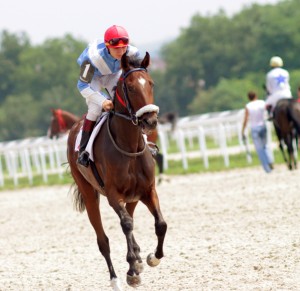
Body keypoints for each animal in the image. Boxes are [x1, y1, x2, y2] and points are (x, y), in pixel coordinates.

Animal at [67, 52, 168, 290]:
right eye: (130, 87)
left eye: (151, 83)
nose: (150, 120)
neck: (129, 147)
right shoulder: (114, 195)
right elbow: (126, 225)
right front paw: (132, 271)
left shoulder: (148, 190)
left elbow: (160, 224)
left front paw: (152, 258)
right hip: (90, 194)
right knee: (103, 240)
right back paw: (115, 279)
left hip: (133, 197)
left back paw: (138, 257)